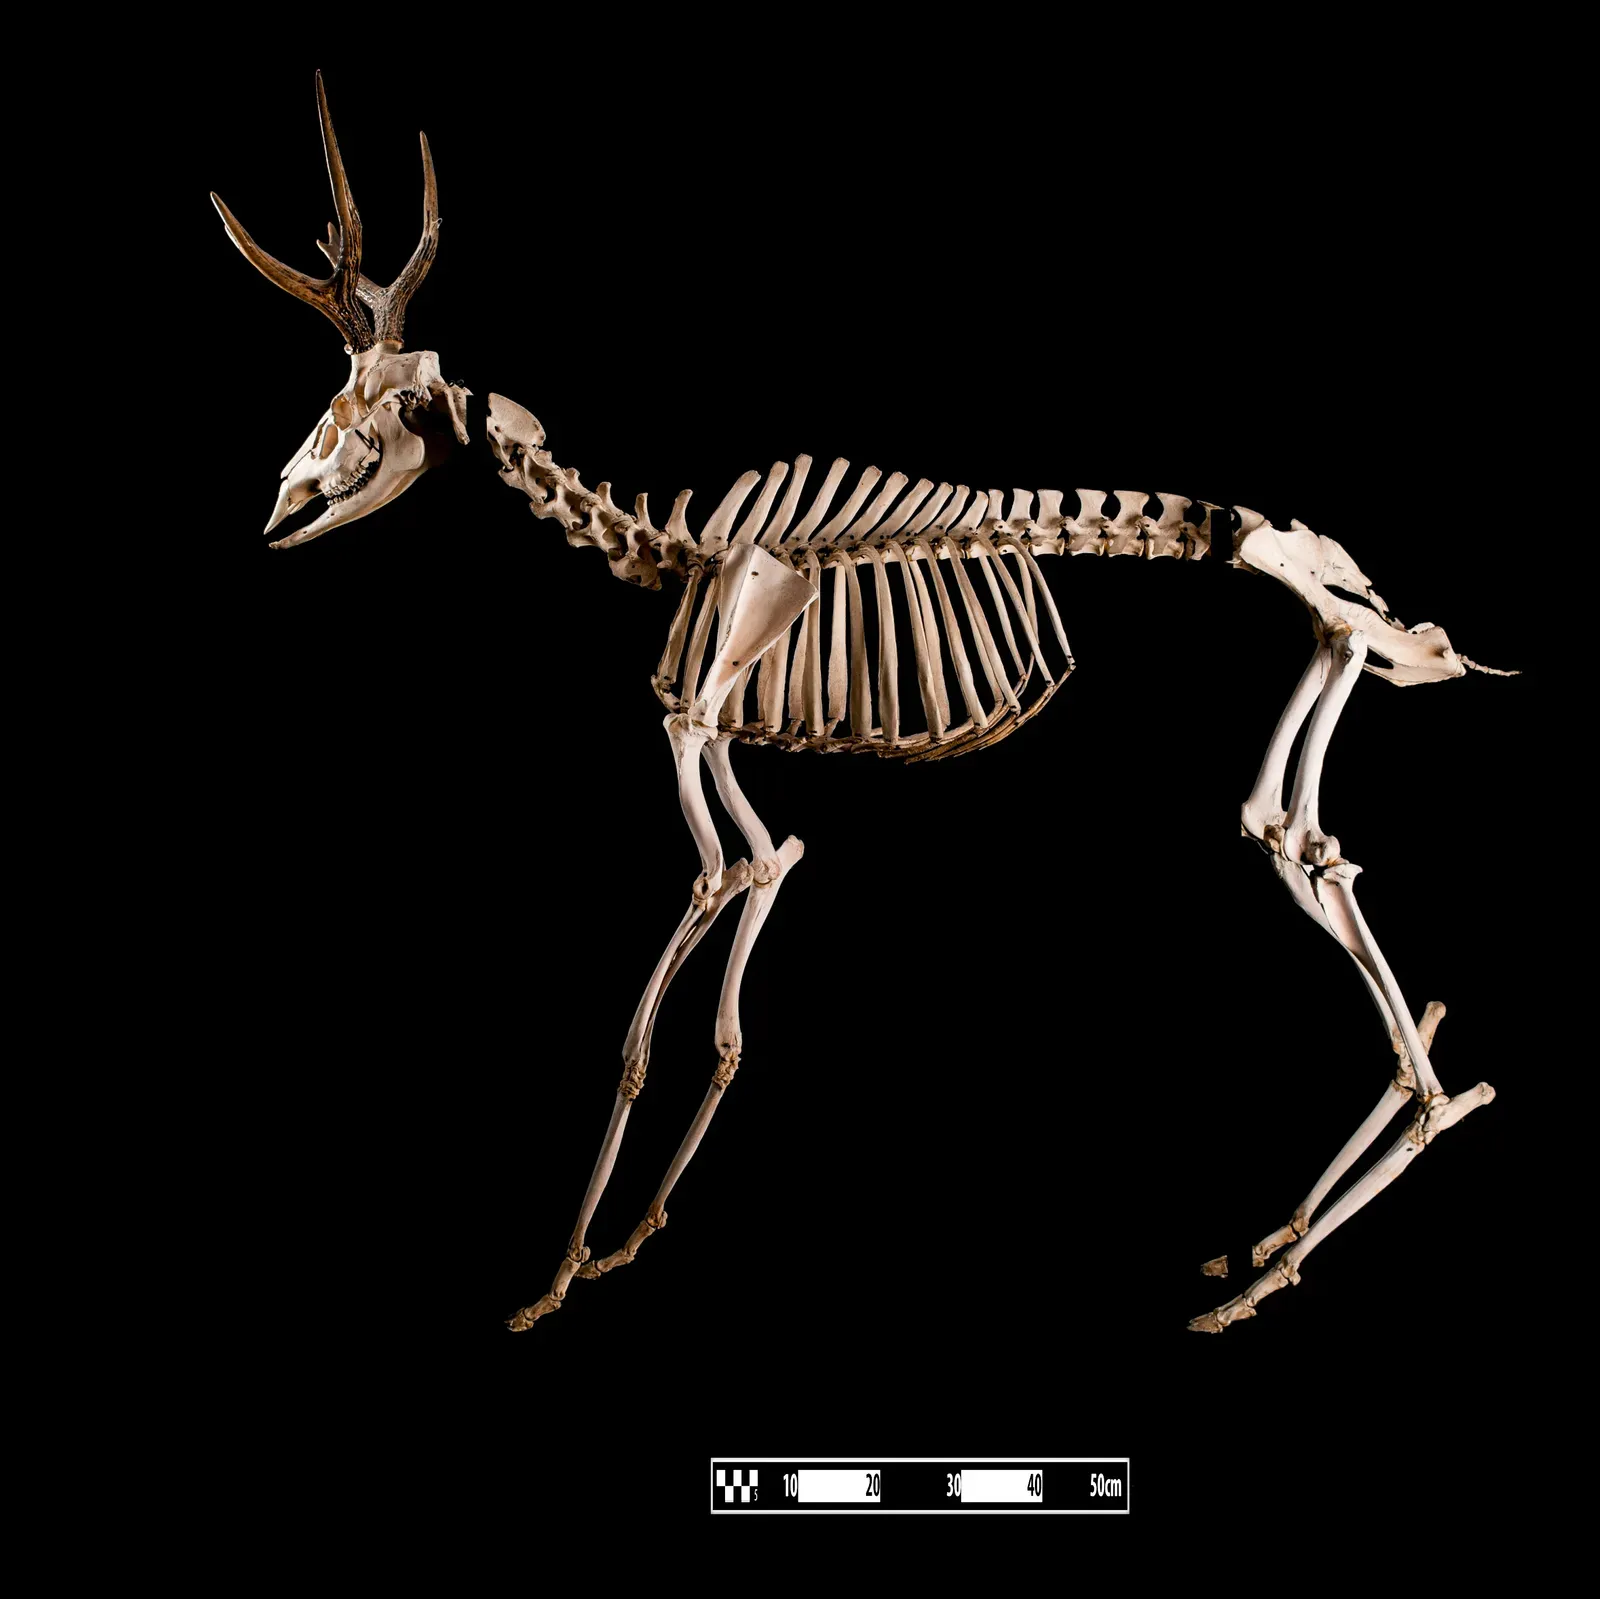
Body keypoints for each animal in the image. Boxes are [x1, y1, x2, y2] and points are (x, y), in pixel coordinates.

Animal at [212, 74, 1517, 1336]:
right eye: (333, 395)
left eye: (377, 407)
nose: (281, 495)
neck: (674, 557)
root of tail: (1279, 543)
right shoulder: (729, 740)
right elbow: (765, 881)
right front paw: (632, 1237)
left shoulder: (696, 720)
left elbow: (696, 917)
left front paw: (558, 1276)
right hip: (1318, 636)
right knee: (1295, 823)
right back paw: (1280, 1234)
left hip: (1315, 616)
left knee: (1303, 839)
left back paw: (1287, 1252)